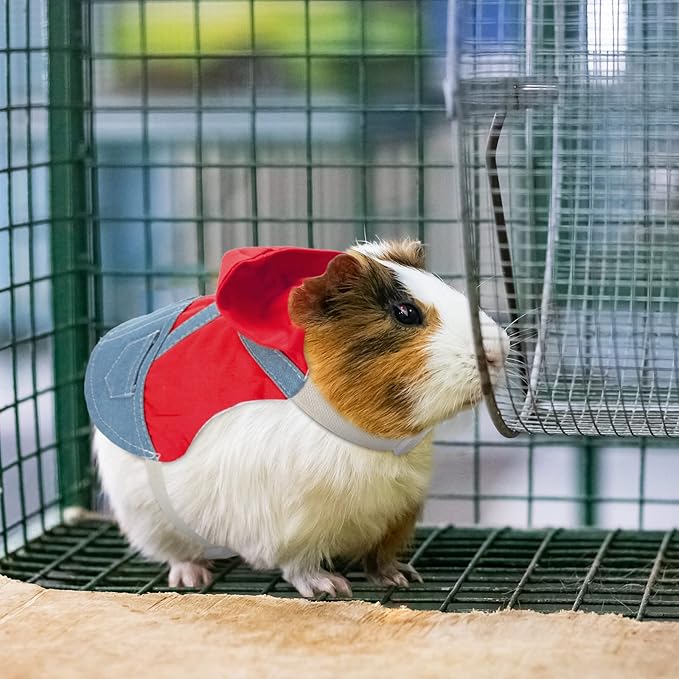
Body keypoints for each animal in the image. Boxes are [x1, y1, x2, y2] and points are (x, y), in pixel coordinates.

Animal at [93, 239, 509, 597]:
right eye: (406, 313)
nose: (499, 349)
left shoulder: (397, 513)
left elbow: (379, 558)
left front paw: (402, 578)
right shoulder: (293, 526)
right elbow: (300, 565)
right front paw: (331, 588)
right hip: (150, 522)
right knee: (176, 554)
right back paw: (193, 578)